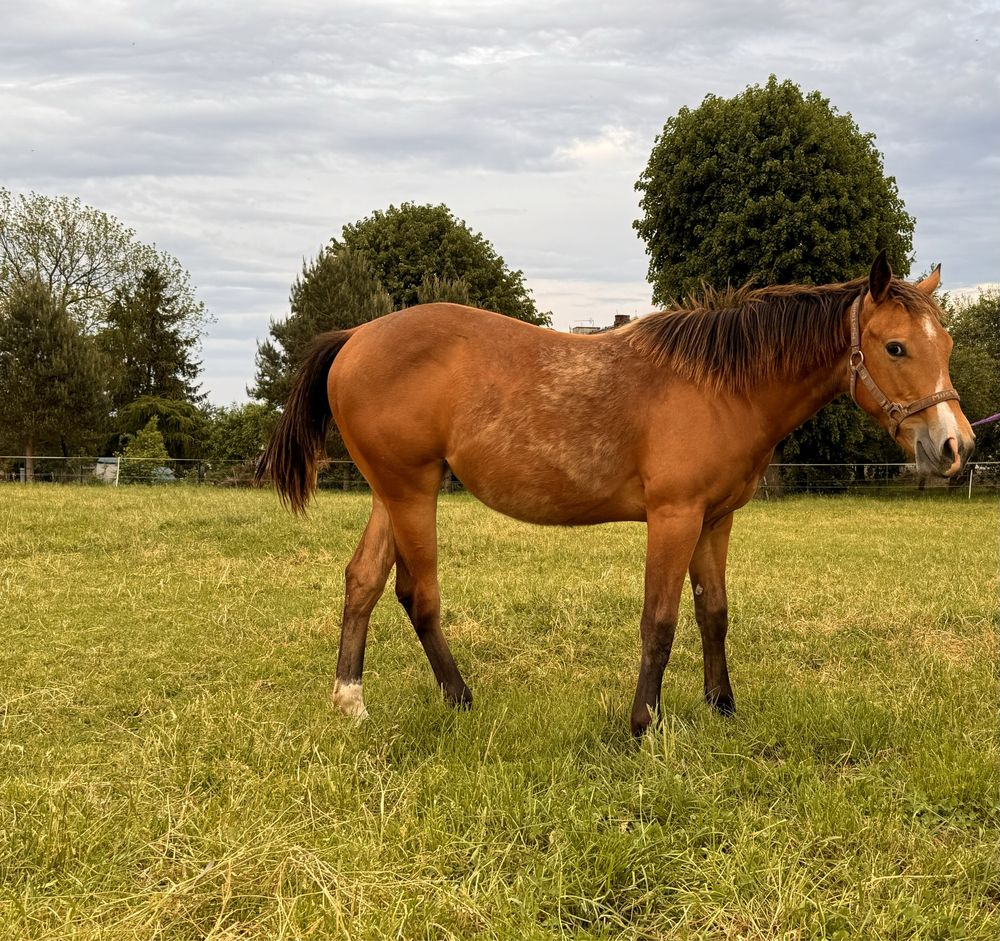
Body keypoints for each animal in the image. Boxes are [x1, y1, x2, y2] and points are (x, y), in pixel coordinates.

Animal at [258, 252, 976, 736]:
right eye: (895, 346)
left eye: (945, 341)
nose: (954, 445)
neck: (720, 383)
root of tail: (355, 336)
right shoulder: (674, 518)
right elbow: (659, 620)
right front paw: (642, 722)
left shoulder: (715, 520)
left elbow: (714, 612)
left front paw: (723, 707)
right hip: (412, 493)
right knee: (418, 593)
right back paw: (459, 697)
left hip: (393, 492)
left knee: (363, 581)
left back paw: (350, 699)